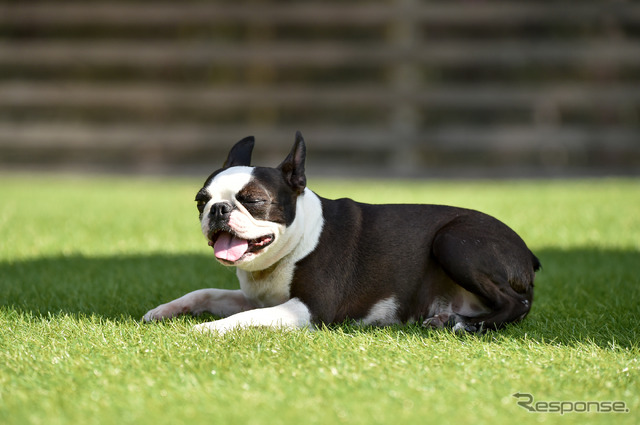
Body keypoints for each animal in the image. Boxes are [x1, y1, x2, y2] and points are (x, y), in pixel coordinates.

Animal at [141, 131, 540, 332]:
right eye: (201, 201)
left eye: (252, 200)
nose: (218, 209)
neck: (293, 246)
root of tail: (528, 253)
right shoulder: (258, 298)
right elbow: (205, 292)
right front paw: (165, 311)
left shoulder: (309, 309)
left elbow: (243, 319)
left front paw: (205, 329)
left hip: (453, 241)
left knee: (516, 304)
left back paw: (465, 325)